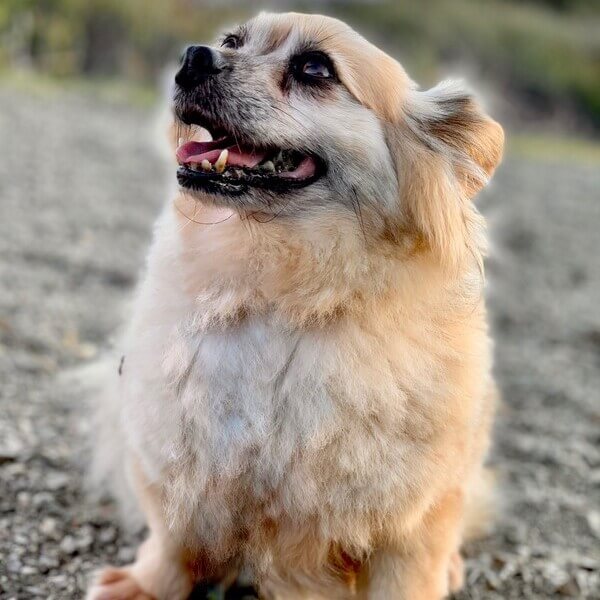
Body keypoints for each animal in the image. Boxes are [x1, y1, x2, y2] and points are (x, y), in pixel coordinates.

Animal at [88, 10, 502, 600]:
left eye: (315, 69)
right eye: (232, 41)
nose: (193, 57)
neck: (283, 292)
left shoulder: (412, 521)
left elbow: (408, 575)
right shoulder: (181, 472)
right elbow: (172, 543)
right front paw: (145, 586)